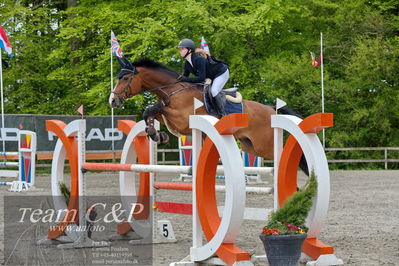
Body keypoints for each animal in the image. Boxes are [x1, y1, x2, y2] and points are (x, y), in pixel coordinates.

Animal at [108, 57, 308, 171]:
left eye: (125, 78)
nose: (112, 100)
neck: (171, 90)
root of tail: (271, 109)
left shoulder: (182, 120)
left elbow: (156, 109)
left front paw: (157, 135)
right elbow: (149, 112)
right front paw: (157, 134)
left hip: (264, 145)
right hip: (250, 146)